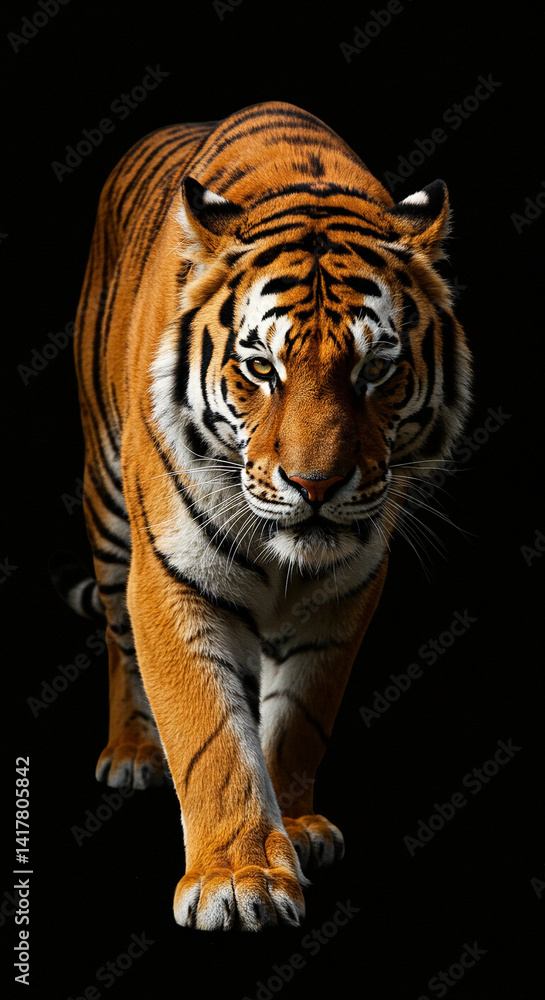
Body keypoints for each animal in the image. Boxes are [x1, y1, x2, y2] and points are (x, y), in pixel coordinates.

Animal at [64, 100, 472, 931]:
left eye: (375, 370)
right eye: (261, 367)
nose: (314, 484)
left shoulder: (348, 589)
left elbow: (301, 714)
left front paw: (298, 825)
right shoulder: (170, 578)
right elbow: (209, 734)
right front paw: (238, 877)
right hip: (109, 508)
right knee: (118, 641)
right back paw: (132, 752)